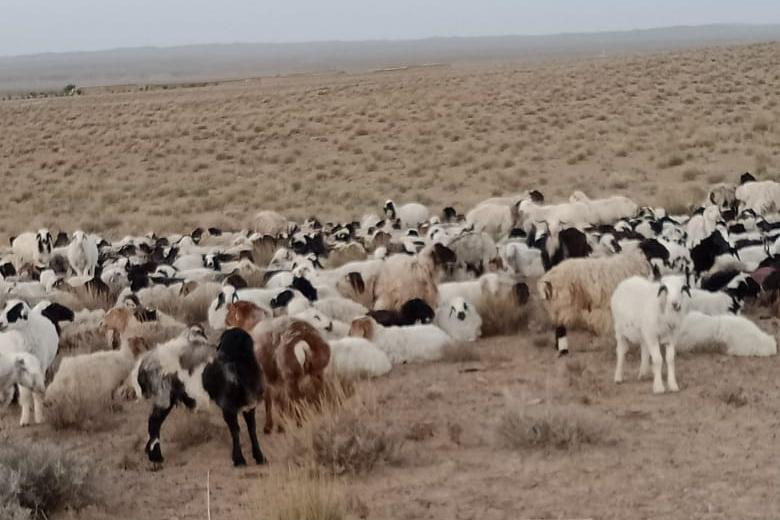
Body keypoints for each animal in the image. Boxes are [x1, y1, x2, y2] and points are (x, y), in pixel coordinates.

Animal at [141, 328, 272, 466]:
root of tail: (147, 361)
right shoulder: (228, 408)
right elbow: (235, 431)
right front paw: (239, 460)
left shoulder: (249, 406)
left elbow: (252, 430)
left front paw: (260, 457)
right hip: (163, 398)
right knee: (154, 423)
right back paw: (156, 456)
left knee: (154, 423)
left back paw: (151, 453)